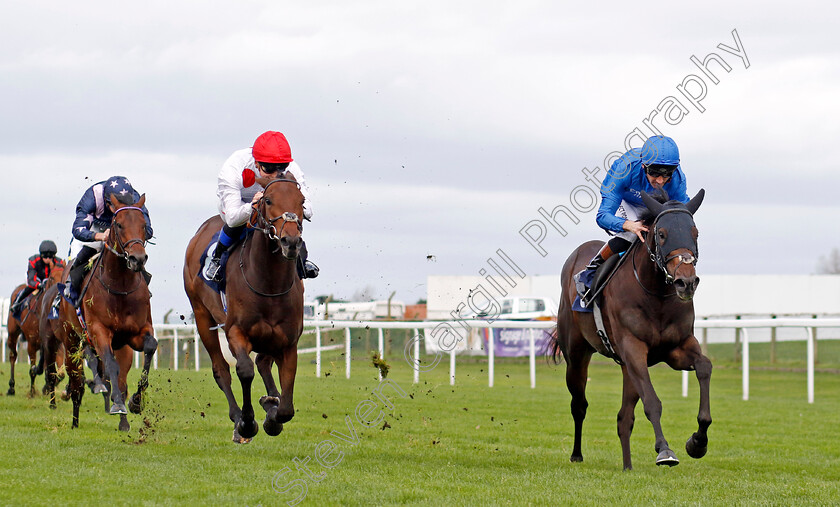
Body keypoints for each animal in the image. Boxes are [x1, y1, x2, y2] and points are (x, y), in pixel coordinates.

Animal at [5, 266, 65, 396]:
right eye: (51, 277)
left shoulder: (57, 344)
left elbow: (61, 373)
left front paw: (46, 387)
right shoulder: (31, 343)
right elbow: (33, 370)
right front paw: (32, 392)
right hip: (12, 333)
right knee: (13, 356)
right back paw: (11, 387)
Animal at [55, 195, 158, 432]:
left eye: (144, 225)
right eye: (118, 224)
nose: (137, 258)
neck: (119, 286)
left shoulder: (137, 332)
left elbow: (150, 346)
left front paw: (136, 402)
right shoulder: (99, 331)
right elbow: (109, 364)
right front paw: (118, 403)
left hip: (122, 347)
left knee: (119, 378)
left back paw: (124, 423)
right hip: (71, 339)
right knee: (77, 382)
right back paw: (75, 420)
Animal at [184, 175, 306, 444]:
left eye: (302, 201)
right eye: (268, 200)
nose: (291, 242)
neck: (269, 283)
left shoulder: (288, 340)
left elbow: (287, 405)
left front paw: (272, 412)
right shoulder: (235, 332)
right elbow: (245, 370)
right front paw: (247, 422)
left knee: (263, 361)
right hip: (202, 315)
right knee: (222, 370)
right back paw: (237, 416)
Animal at [552, 189, 708, 470]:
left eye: (695, 233)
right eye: (661, 234)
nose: (686, 282)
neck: (656, 294)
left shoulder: (676, 349)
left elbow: (705, 366)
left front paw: (697, 442)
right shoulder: (634, 348)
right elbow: (652, 402)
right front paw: (664, 450)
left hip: (627, 366)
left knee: (624, 418)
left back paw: (627, 466)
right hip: (577, 356)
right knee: (579, 405)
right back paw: (577, 454)